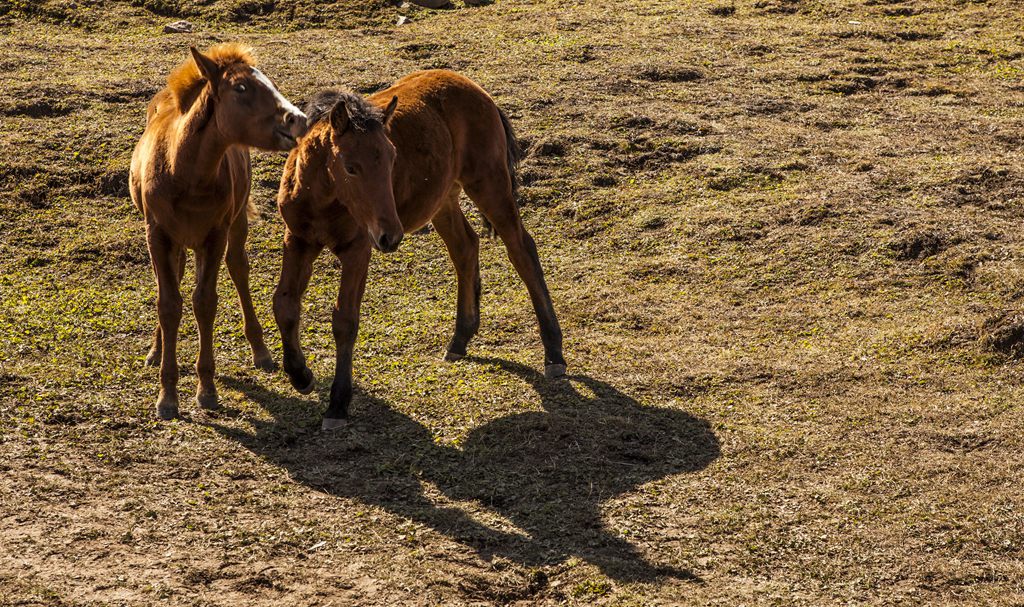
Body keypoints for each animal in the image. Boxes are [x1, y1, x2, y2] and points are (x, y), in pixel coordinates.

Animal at [128, 45, 305, 419]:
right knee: (177, 277)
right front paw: (167, 395)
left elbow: (205, 302)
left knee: (238, 268)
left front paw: (206, 389)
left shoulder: (214, 235)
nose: (296, 118)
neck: (182, 170)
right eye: (241, 87)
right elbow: (169, 303)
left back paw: (260, 350)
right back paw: (156, 349)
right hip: (177, 241)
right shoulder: (157, 235)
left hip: (233, 227)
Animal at [276, 68, 565, 427]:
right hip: (442, 201)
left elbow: (345, 320)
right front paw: (300, 374)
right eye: (350, 166)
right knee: (465, 247)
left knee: (522, 250)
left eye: (392, 160)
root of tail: (476, 90)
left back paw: (554, 353)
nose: (391, 234)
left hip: (490, 185)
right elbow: (284, 306)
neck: (320, 199)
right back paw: (460, 338)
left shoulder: (357, 250)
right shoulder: (297, 240)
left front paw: (338, 403)